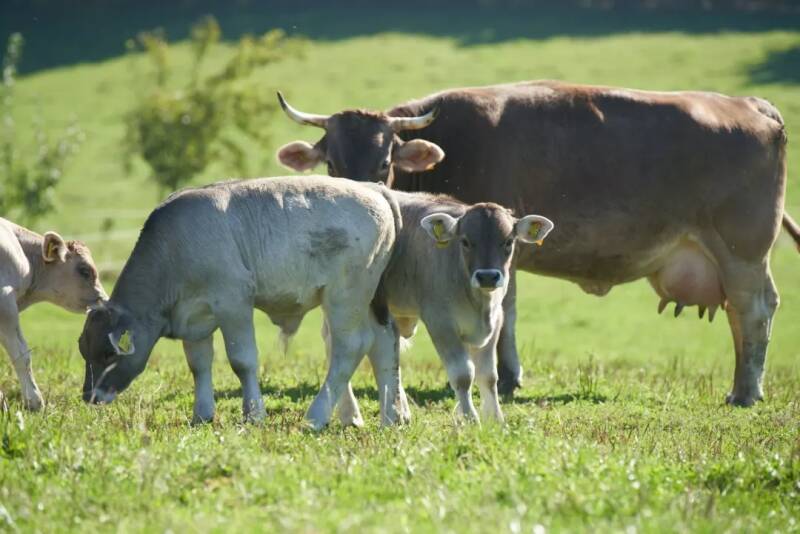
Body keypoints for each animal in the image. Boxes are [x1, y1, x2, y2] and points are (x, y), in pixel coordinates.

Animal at [78, 178, 404, 430]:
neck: (172, 251)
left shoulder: (234, 303)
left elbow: (242, 360)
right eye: (84, 350)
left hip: (345, 297)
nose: (89, 396)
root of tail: (371, 187)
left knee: (351, 347)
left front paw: (254, 414)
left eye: (108, 353)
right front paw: (202, 414)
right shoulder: (194, 317)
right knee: (384, 343)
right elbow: (198, 364)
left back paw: (317, 416)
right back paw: (391, 417)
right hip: (368, 301)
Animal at [340, 191, 552, 426]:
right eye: (465, 241)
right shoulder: (440, 322)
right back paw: (352, 414)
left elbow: (488, 376)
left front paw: (496, 419)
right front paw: (470, 418)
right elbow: (463, 374)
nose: (487, 276)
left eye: (508, 241)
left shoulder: (496, 320)